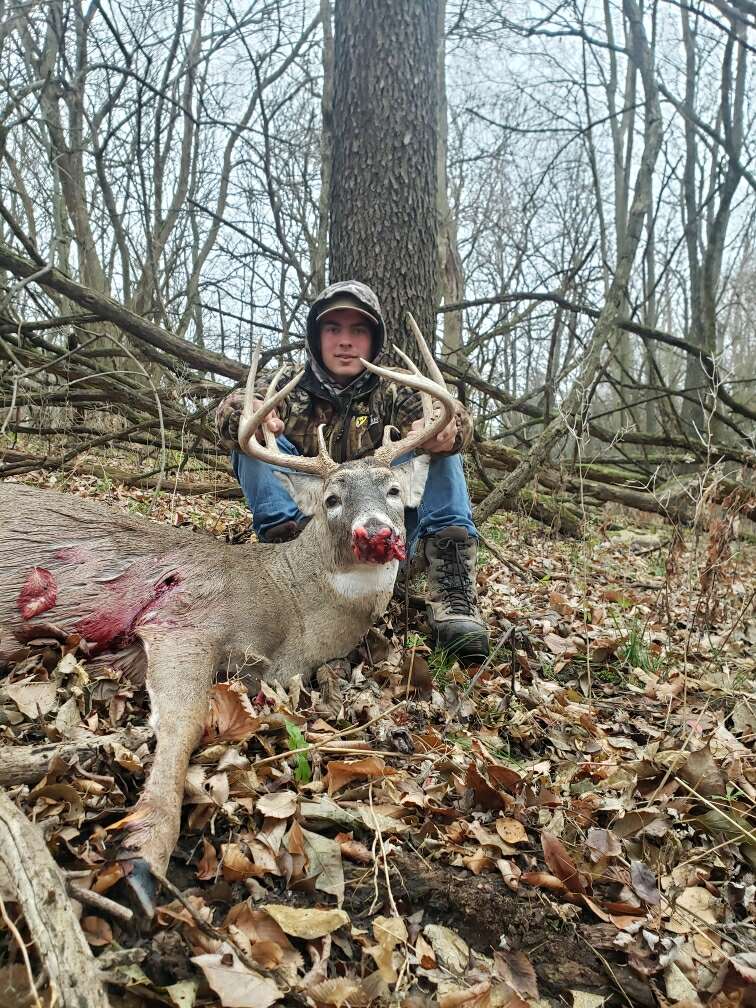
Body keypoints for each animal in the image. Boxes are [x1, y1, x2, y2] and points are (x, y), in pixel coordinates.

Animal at [0, 319, 455, 914]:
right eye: (332, 498)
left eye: (395, 490)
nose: (375, 531)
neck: (291, 612)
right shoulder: (183, 617)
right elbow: (184, 719)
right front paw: (141, 852)